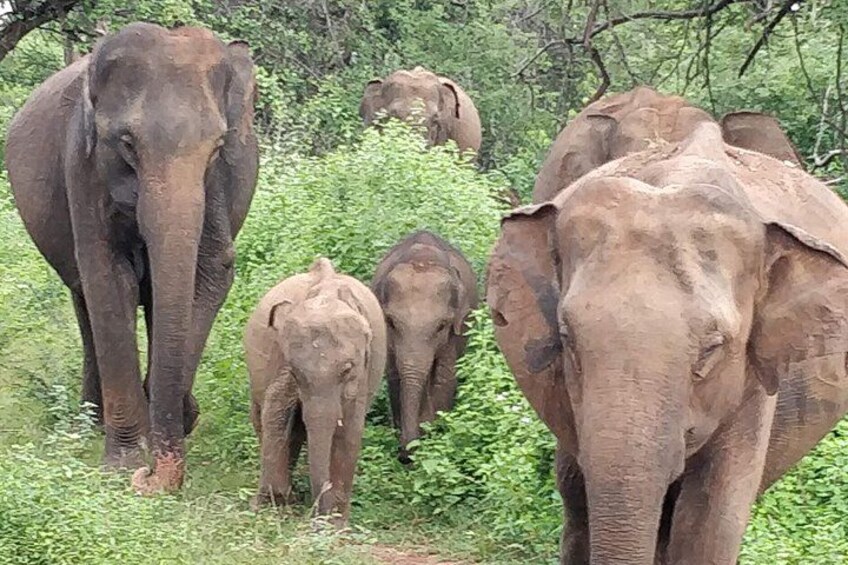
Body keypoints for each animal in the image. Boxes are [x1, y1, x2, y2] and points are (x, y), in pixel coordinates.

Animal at [4, 23, 258, 493]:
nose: (150, 475)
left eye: (217, 147)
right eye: (126, 143)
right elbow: (106, 275)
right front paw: (123, 464)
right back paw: (92, 420)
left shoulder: (220, 182)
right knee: (83, 298)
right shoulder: (82, 164)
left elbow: (209, 270)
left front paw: (173, 422)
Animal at [244, 258, 386, 527]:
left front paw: (336, 523)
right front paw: (271, 507)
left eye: (347, 369)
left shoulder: (363, 372)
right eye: (295, 371)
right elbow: (277, 407)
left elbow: (350, 428)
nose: (317, 513)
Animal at [371, 231, 478, 463]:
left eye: (441, 326)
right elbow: (395, 376)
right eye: (391, 322)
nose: (405, 456)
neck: (423, 259)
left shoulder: (455, 331)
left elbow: (445, 376)